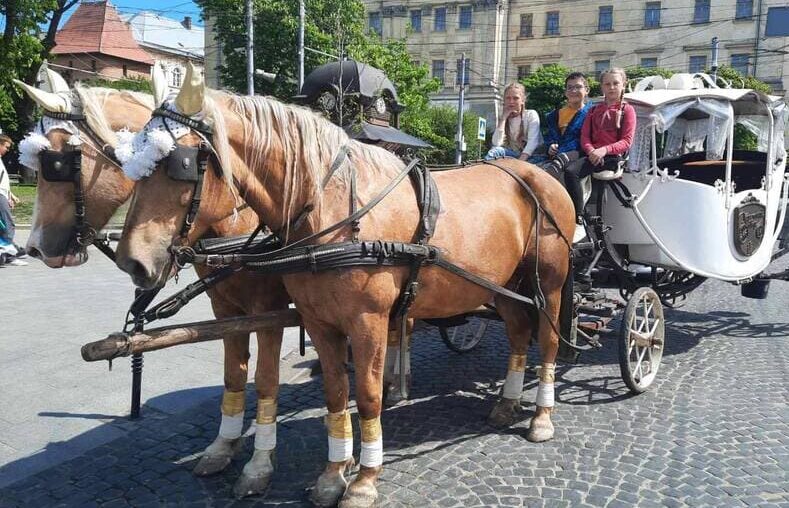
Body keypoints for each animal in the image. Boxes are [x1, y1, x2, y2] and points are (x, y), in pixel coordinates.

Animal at [14, 69, 292, 498]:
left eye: (58, 162)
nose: (36, 247)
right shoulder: (225, 308)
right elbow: (233, 372)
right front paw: (223, 446)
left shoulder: (269, 311)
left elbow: (265, 380)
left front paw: (260, 463)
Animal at [115, 64, 572, 508]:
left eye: (181, 165)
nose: (131, 261)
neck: (333, 211)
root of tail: (539, 174)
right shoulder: (316, 322)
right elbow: (334, 393)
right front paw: (333, 475)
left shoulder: (363, 322)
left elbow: (365, 396)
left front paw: (364, 481)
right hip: (503, 285)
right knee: (518, 334)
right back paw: (507, 403)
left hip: (548, 286)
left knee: (548, 341)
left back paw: (541, 417)